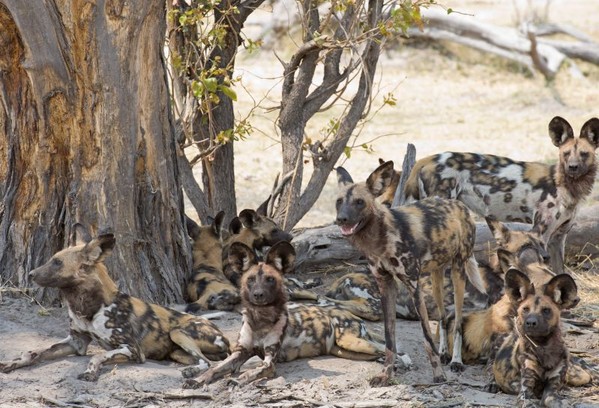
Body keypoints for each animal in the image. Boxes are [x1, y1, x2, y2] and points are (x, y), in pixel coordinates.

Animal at [0, 226, 230, 382]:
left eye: (57, 262)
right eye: (52, 259)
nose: (31, 274)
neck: (88, 308)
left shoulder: (132, 349)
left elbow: (98, 355)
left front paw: (90, 372)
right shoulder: (76, 342)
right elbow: (34, 352)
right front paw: (14, 363)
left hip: (178, 332)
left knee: (207, 362)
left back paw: (191, 372)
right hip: (176, 352)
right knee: (204, 360)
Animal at [183, 242, 386, 388]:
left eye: (270, 279)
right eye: (250, 279)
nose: (258, 295)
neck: (259, 320)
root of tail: (351, 316)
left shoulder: (269, 362)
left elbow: (252, 371)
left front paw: (238, 380)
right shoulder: (240, 352)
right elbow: (215, 368)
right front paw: (198, 379)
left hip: (351, 341)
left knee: (387, 350)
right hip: (345, 350)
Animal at [336, 160, 486, 386]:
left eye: (359, 202)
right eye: (339, 202)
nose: (341, 219)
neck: (381, 240)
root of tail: (459, 204)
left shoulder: (413, 287)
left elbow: (426, 338)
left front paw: (438, 375)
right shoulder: (386, 286)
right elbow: (390, 339)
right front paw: (386, 374)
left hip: (458, 273)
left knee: (458, 321)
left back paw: (456, 361)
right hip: (436, 278)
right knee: (443, 317)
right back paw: (444, 352)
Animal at [386, 116, 596, 276]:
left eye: (584, 154)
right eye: (566, 153)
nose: (573, 167)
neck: (567, 185)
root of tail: (425, 160)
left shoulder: (557, 239)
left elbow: (561, 273)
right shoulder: (540, 233)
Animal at [492, 270, 580, 406]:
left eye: (546, 310)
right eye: (525, 309)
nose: (531, 323)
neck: (544, 347)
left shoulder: (552, 391)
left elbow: (555, 401)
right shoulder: (525, 393)